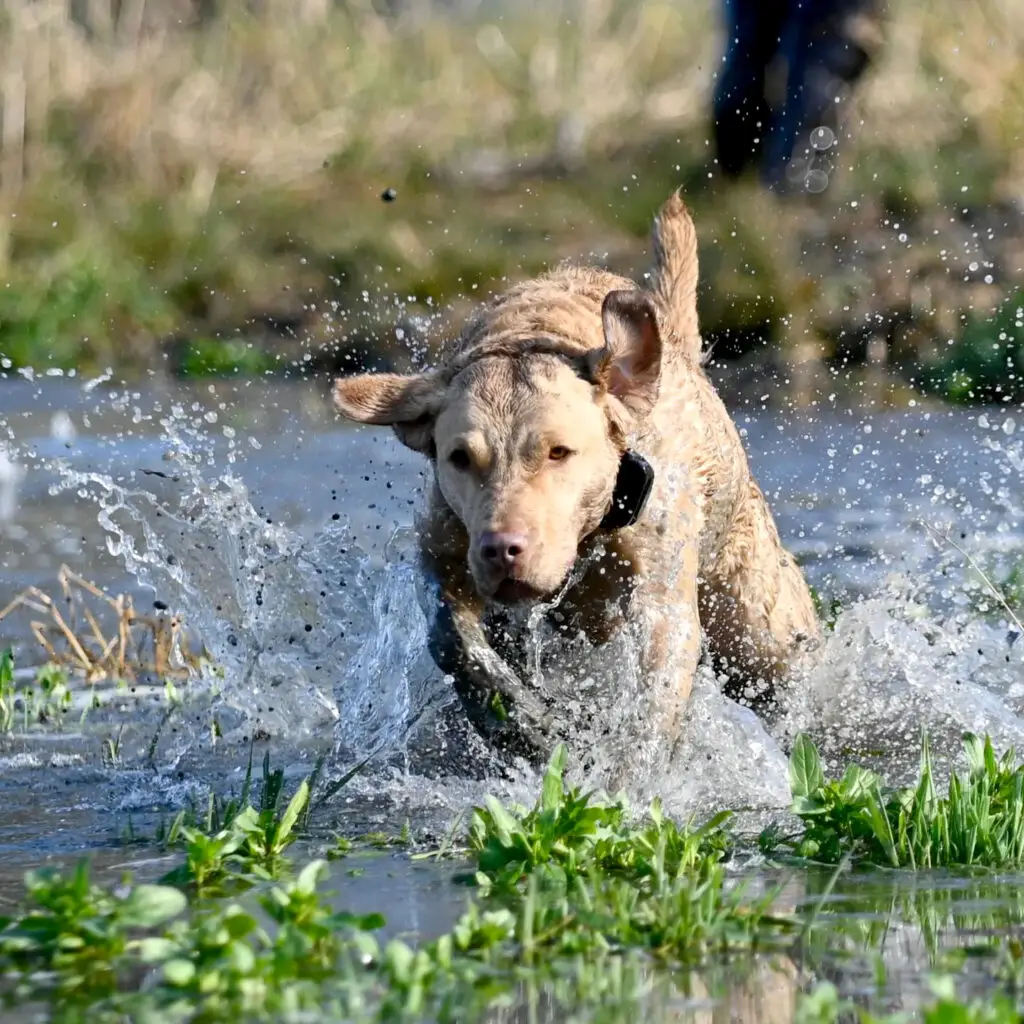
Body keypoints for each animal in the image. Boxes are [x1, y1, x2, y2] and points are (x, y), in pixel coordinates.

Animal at [331, 188, 819, 770]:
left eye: (558, 452)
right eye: (460, 458)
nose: (501, 548)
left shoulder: (662, 597)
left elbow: (653, 695)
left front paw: (626, 774)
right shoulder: (445, 548)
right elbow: (452, 636)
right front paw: (521, 723)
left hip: (758, 621)